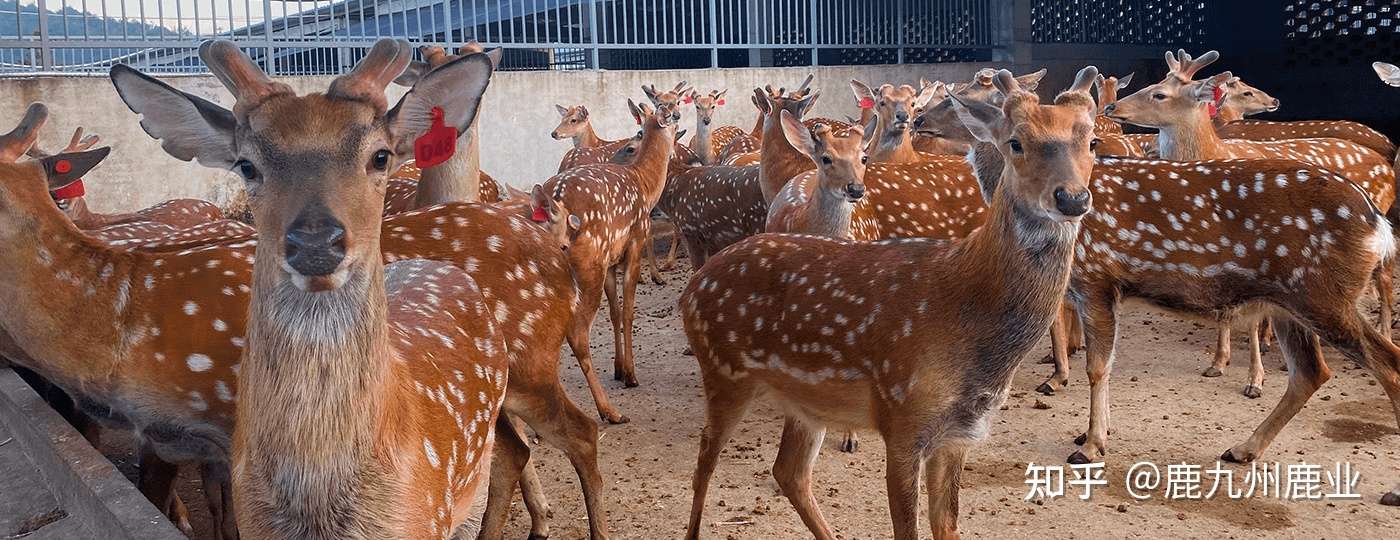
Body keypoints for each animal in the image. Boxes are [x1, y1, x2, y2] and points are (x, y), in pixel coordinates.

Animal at [680, 66, 1103, 540]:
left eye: (1091, 141)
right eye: (1015, 142)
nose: (1072, 197)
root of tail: (690, 290)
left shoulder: (961, 433)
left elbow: (948, 525)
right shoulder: (902, 414)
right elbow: (908, 528)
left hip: (803, 400)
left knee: (789, 471)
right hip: (723, 370)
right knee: (704, 460)